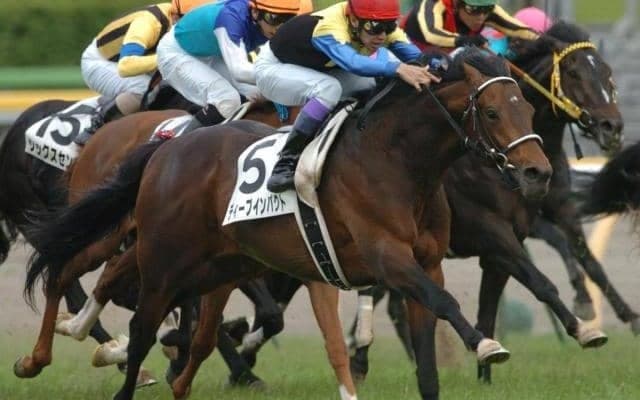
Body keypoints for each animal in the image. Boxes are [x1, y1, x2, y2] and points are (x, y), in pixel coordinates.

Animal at [25, 48, 552, 400]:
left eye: (528, 107)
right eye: (490, 111)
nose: (538, 173)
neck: (397, 161)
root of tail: (167, 148)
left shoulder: (425, 263)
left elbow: (426, 353)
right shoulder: (387, 258)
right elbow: (443, 301)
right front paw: (487, 345)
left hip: (215, 266)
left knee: (175, 326)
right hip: (160, 260)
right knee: (126, 320)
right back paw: (65, 355)